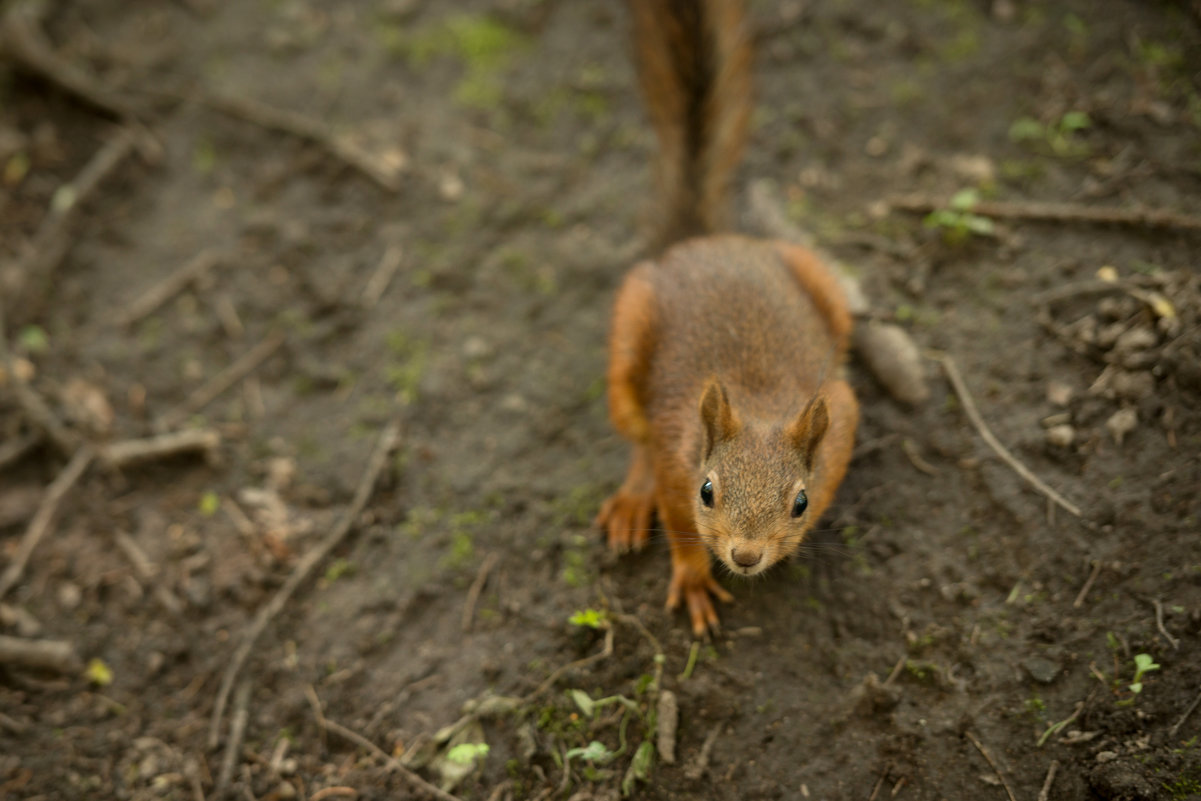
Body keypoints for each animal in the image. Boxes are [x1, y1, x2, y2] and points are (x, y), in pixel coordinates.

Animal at [595, 1, 859, 638]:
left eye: (800, 502)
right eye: (708, 491)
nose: (745, 555)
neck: (759, 403)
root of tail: (702, 240)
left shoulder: (843, 420)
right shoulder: (675, 455)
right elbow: (679, 524)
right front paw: (694, 580)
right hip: (628, 333)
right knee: (634, 436)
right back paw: (632, 499)